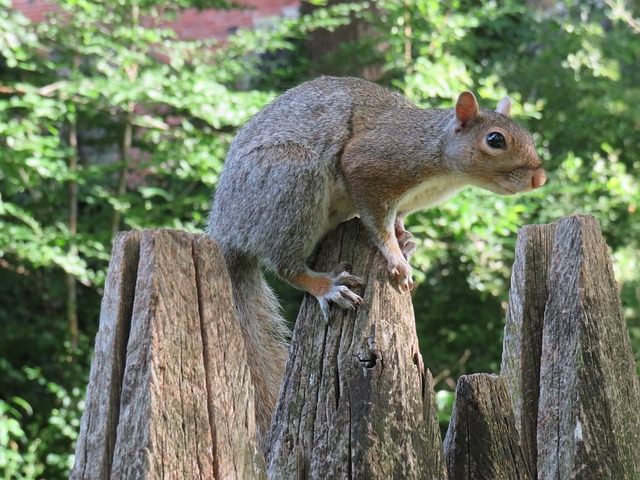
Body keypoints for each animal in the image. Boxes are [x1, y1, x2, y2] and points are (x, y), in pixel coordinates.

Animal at [208, 75, 548, 446]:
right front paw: (396, 258)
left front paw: (405, 240)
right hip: (291, 184)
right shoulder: (371, 165)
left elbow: (395, 221)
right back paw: (326, 286)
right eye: (495, 140)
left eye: (528, 134)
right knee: (287, 265)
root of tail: (227, 225)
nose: (540, 179)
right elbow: (378, 225)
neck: (442, 164)